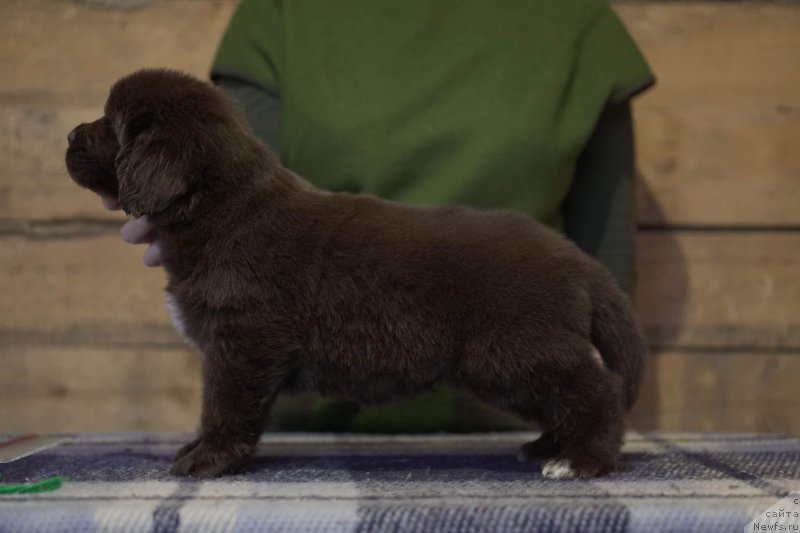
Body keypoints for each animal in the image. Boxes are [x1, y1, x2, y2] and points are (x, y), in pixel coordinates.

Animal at [65, 67, 648, 478]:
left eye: (110, 124)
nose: (69, 136)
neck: (219, 208)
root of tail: (580, 261)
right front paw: (204, 450)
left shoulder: (241, 341)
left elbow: (224, 406)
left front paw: (207, 459)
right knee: (563, 400)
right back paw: (548, 447)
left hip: (512, 351)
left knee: (596, 389)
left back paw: (583, 460)